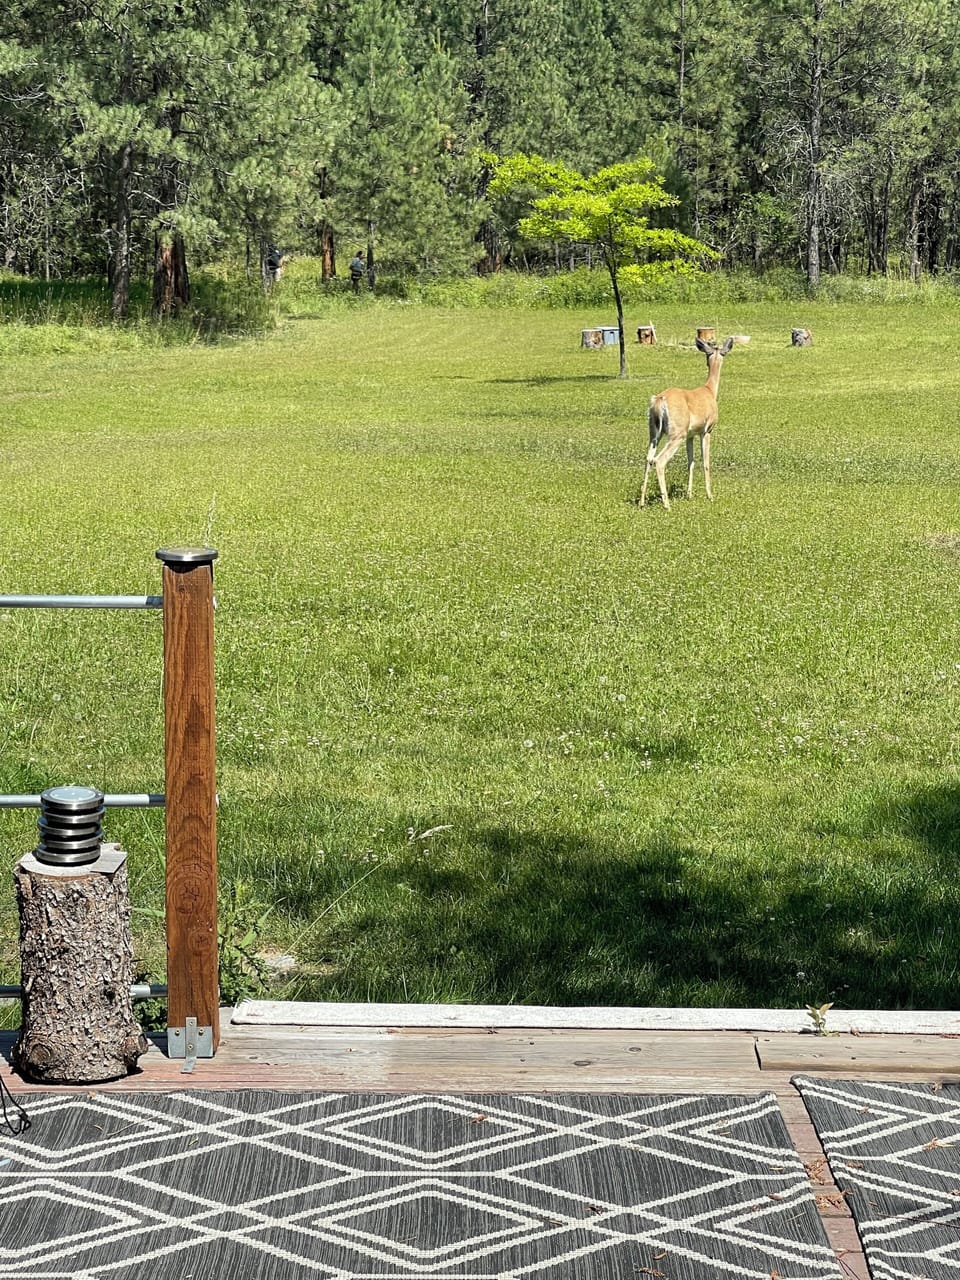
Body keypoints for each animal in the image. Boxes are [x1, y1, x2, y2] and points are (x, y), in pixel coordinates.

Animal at [640, 336, 735, 511]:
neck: (710, 391)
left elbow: (691, 461)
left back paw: (642, 502)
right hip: (677, 433)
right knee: (659, 460)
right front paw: (710, 495)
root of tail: (659, 400)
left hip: (654, 432)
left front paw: (689, 494)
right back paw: (667, 504)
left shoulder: (691, 434)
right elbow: (705, 462)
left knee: (648, 458)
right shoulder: (707, 430)